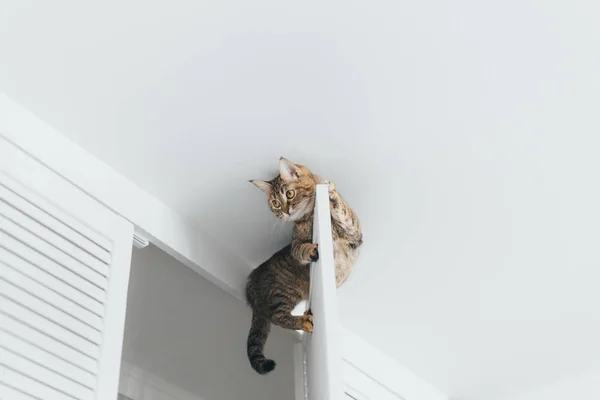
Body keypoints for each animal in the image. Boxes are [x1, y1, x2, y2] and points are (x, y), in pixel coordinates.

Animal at [244, 158, 360, 374]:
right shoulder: (295, 244)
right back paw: (304, 321)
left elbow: (344, 213)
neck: (309, 217)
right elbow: (299, 249)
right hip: (283, 292)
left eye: (289, 194)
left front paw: (332, 193)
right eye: (275, 203)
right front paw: (309, 250)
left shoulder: (354, 231)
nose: (285, 211)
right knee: (277, 317)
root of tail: (251, 286)